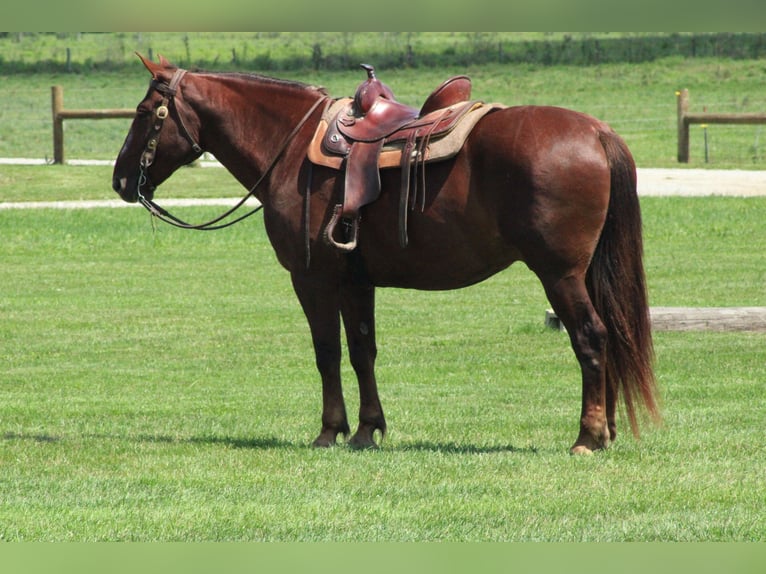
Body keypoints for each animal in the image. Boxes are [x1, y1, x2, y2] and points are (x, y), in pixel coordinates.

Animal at [112, 54, 659, 454]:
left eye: (142, 114)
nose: (119, 180)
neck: (291, 147)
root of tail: (596, 132)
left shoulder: (311, 278)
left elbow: (327, 351)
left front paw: (329, 431)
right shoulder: (357, 280)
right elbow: (362, 350)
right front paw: (366, 430)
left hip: (560, 275)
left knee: (591, 337)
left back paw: (588, 436)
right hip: (585, 275)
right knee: (611, 337)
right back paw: (607, 431)